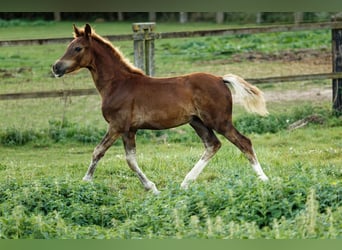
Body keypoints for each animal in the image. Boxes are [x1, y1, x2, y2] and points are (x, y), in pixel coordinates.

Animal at [52, 23, 268, 194]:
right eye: (68, 46)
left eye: (77, 48)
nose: (56, 67)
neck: (118, 84)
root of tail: (220, 79)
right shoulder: (129, 129)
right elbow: (130, 159)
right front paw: (152, 188)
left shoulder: (117, 126)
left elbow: (98, 151)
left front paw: (85, 182)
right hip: (197, 122)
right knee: (213, 145)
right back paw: (185, 183)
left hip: (219, 121)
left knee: (244, 142)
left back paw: (264, 180)